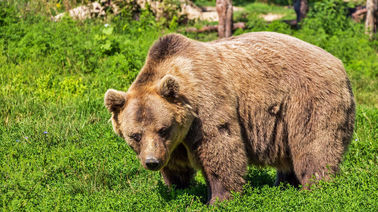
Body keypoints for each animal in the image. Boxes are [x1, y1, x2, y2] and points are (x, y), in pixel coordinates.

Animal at [103, 31, 354, 204]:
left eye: (163, 129)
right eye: (135, 135)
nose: (152, 162)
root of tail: (339, 63)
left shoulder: (207, 105)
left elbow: (220, 149)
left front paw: (219, 199)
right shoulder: (174, 143)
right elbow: (176, 166)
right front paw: (178, 189)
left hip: (308, 100)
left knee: (314, 145)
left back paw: (317, 187)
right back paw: (284, 184)